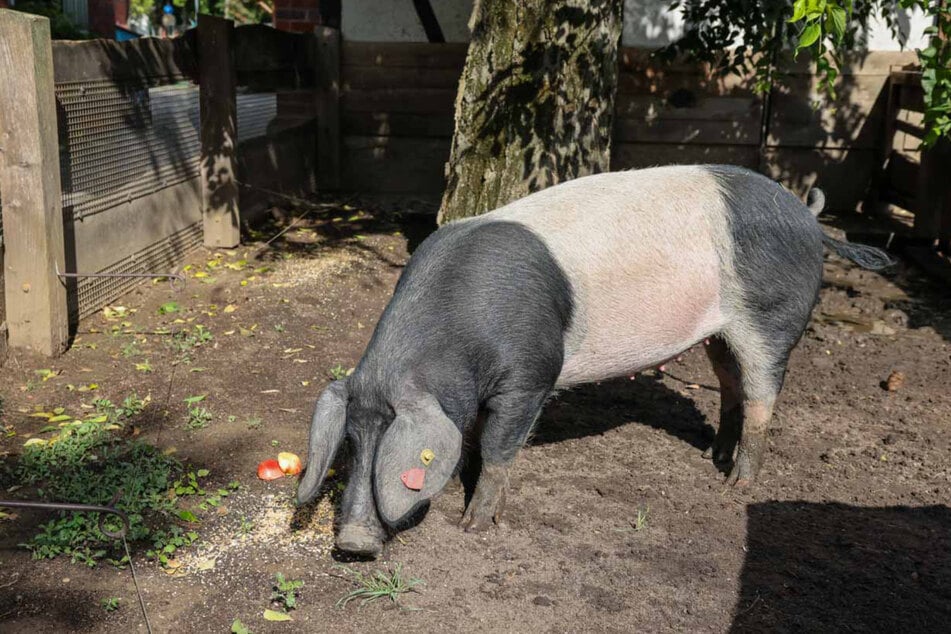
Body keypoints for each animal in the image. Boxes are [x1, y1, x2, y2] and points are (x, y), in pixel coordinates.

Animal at [296, 163, 892, 552]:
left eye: (391, 445)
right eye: (351, 443)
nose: (351, 544)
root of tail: (809, 216)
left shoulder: (531, 375)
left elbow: (499, 446)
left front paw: (474, 526)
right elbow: (470, 436)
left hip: (772, 317)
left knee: (765, 393)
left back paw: (736, 485)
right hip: (719, 332)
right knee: (731, 385)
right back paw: (711, 458)